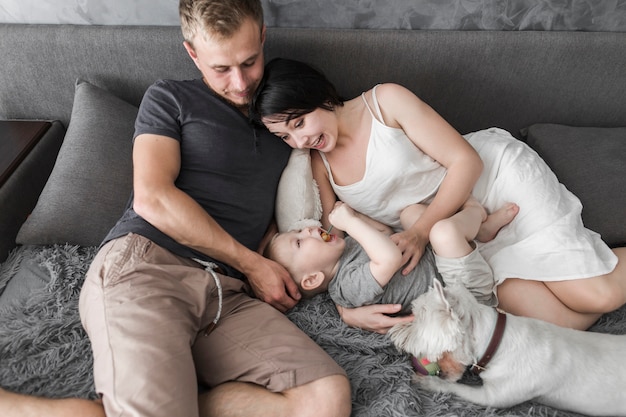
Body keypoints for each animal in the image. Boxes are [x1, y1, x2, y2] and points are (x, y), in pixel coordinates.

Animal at [388, 278, 624, 414]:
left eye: (418, 317)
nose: (394, 336)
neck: (496, 341)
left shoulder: (493, 396)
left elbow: (456, 387)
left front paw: (427, 382)